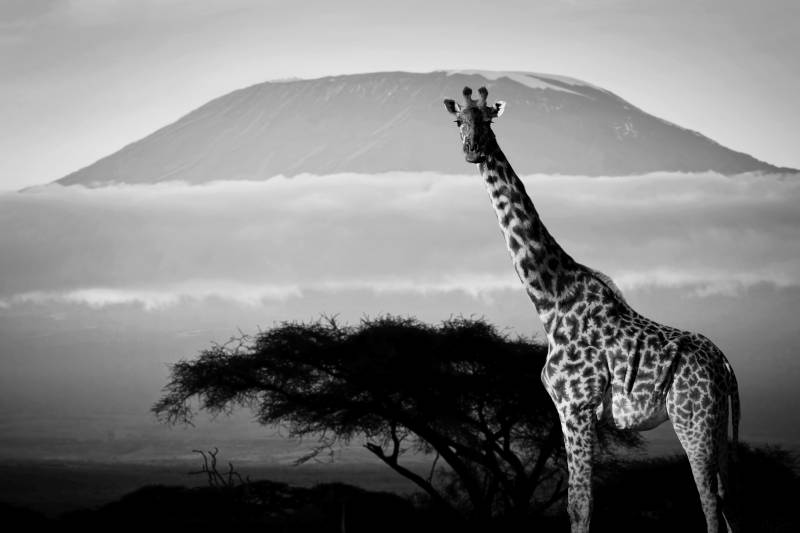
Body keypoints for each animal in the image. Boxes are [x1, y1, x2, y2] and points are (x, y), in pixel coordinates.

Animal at [443, 86, 741, 533]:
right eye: (458, 120)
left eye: (489, 120)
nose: (473, 151)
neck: (549, 300)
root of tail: (724, 364)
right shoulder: (566, 411)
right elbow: (577, 503)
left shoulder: (577, 406)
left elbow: (580, 505)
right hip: (717, 422)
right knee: (727, 497)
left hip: (693, 418)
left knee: (708, 499)